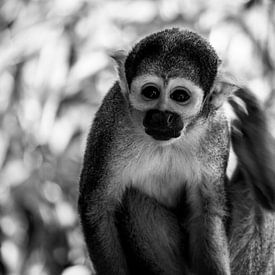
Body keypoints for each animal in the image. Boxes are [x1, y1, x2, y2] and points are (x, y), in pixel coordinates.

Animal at [77, 28, 275, 275]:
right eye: (151, 92)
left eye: (180, 96)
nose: (163, 117)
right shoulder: (111, 119)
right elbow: (97, 207)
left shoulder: (216, 129)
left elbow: (206, 211)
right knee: (132, 199)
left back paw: (256, 156)